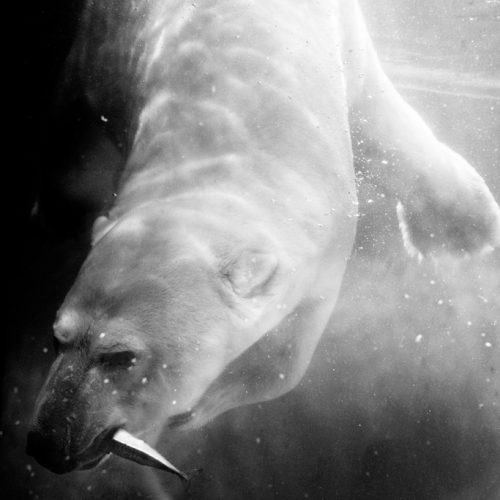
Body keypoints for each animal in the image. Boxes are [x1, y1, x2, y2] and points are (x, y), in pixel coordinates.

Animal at [27, 0, 500, 482]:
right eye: (57, 338)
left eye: (121, 356)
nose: (48, 444)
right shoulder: (103, 57)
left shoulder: (324, 243)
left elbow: (286, 357)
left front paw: (202, 406)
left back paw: (465, 228)